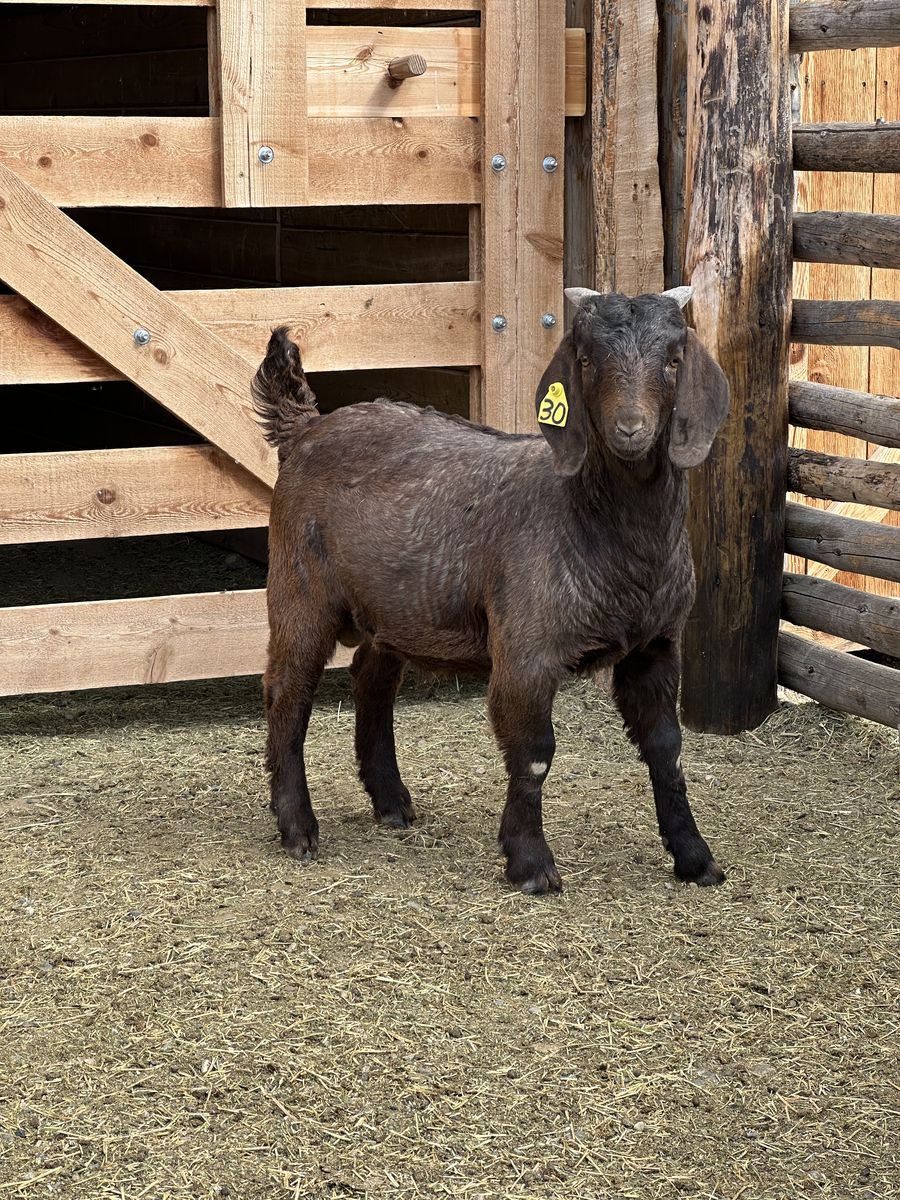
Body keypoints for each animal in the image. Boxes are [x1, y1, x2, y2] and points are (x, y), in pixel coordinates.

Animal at [252, 286, 730, 894]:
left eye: (672, 360)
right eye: (585, 360)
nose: (630, 428)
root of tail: (306, 428)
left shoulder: (657, 645)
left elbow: (667, 750)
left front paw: (695, 857)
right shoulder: (526, 649)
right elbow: (533, 753)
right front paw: (530, 863)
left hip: (395, 604)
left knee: (371, 679)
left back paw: (391, 801)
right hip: (299, 587)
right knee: (287, 692)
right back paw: (297, 827)